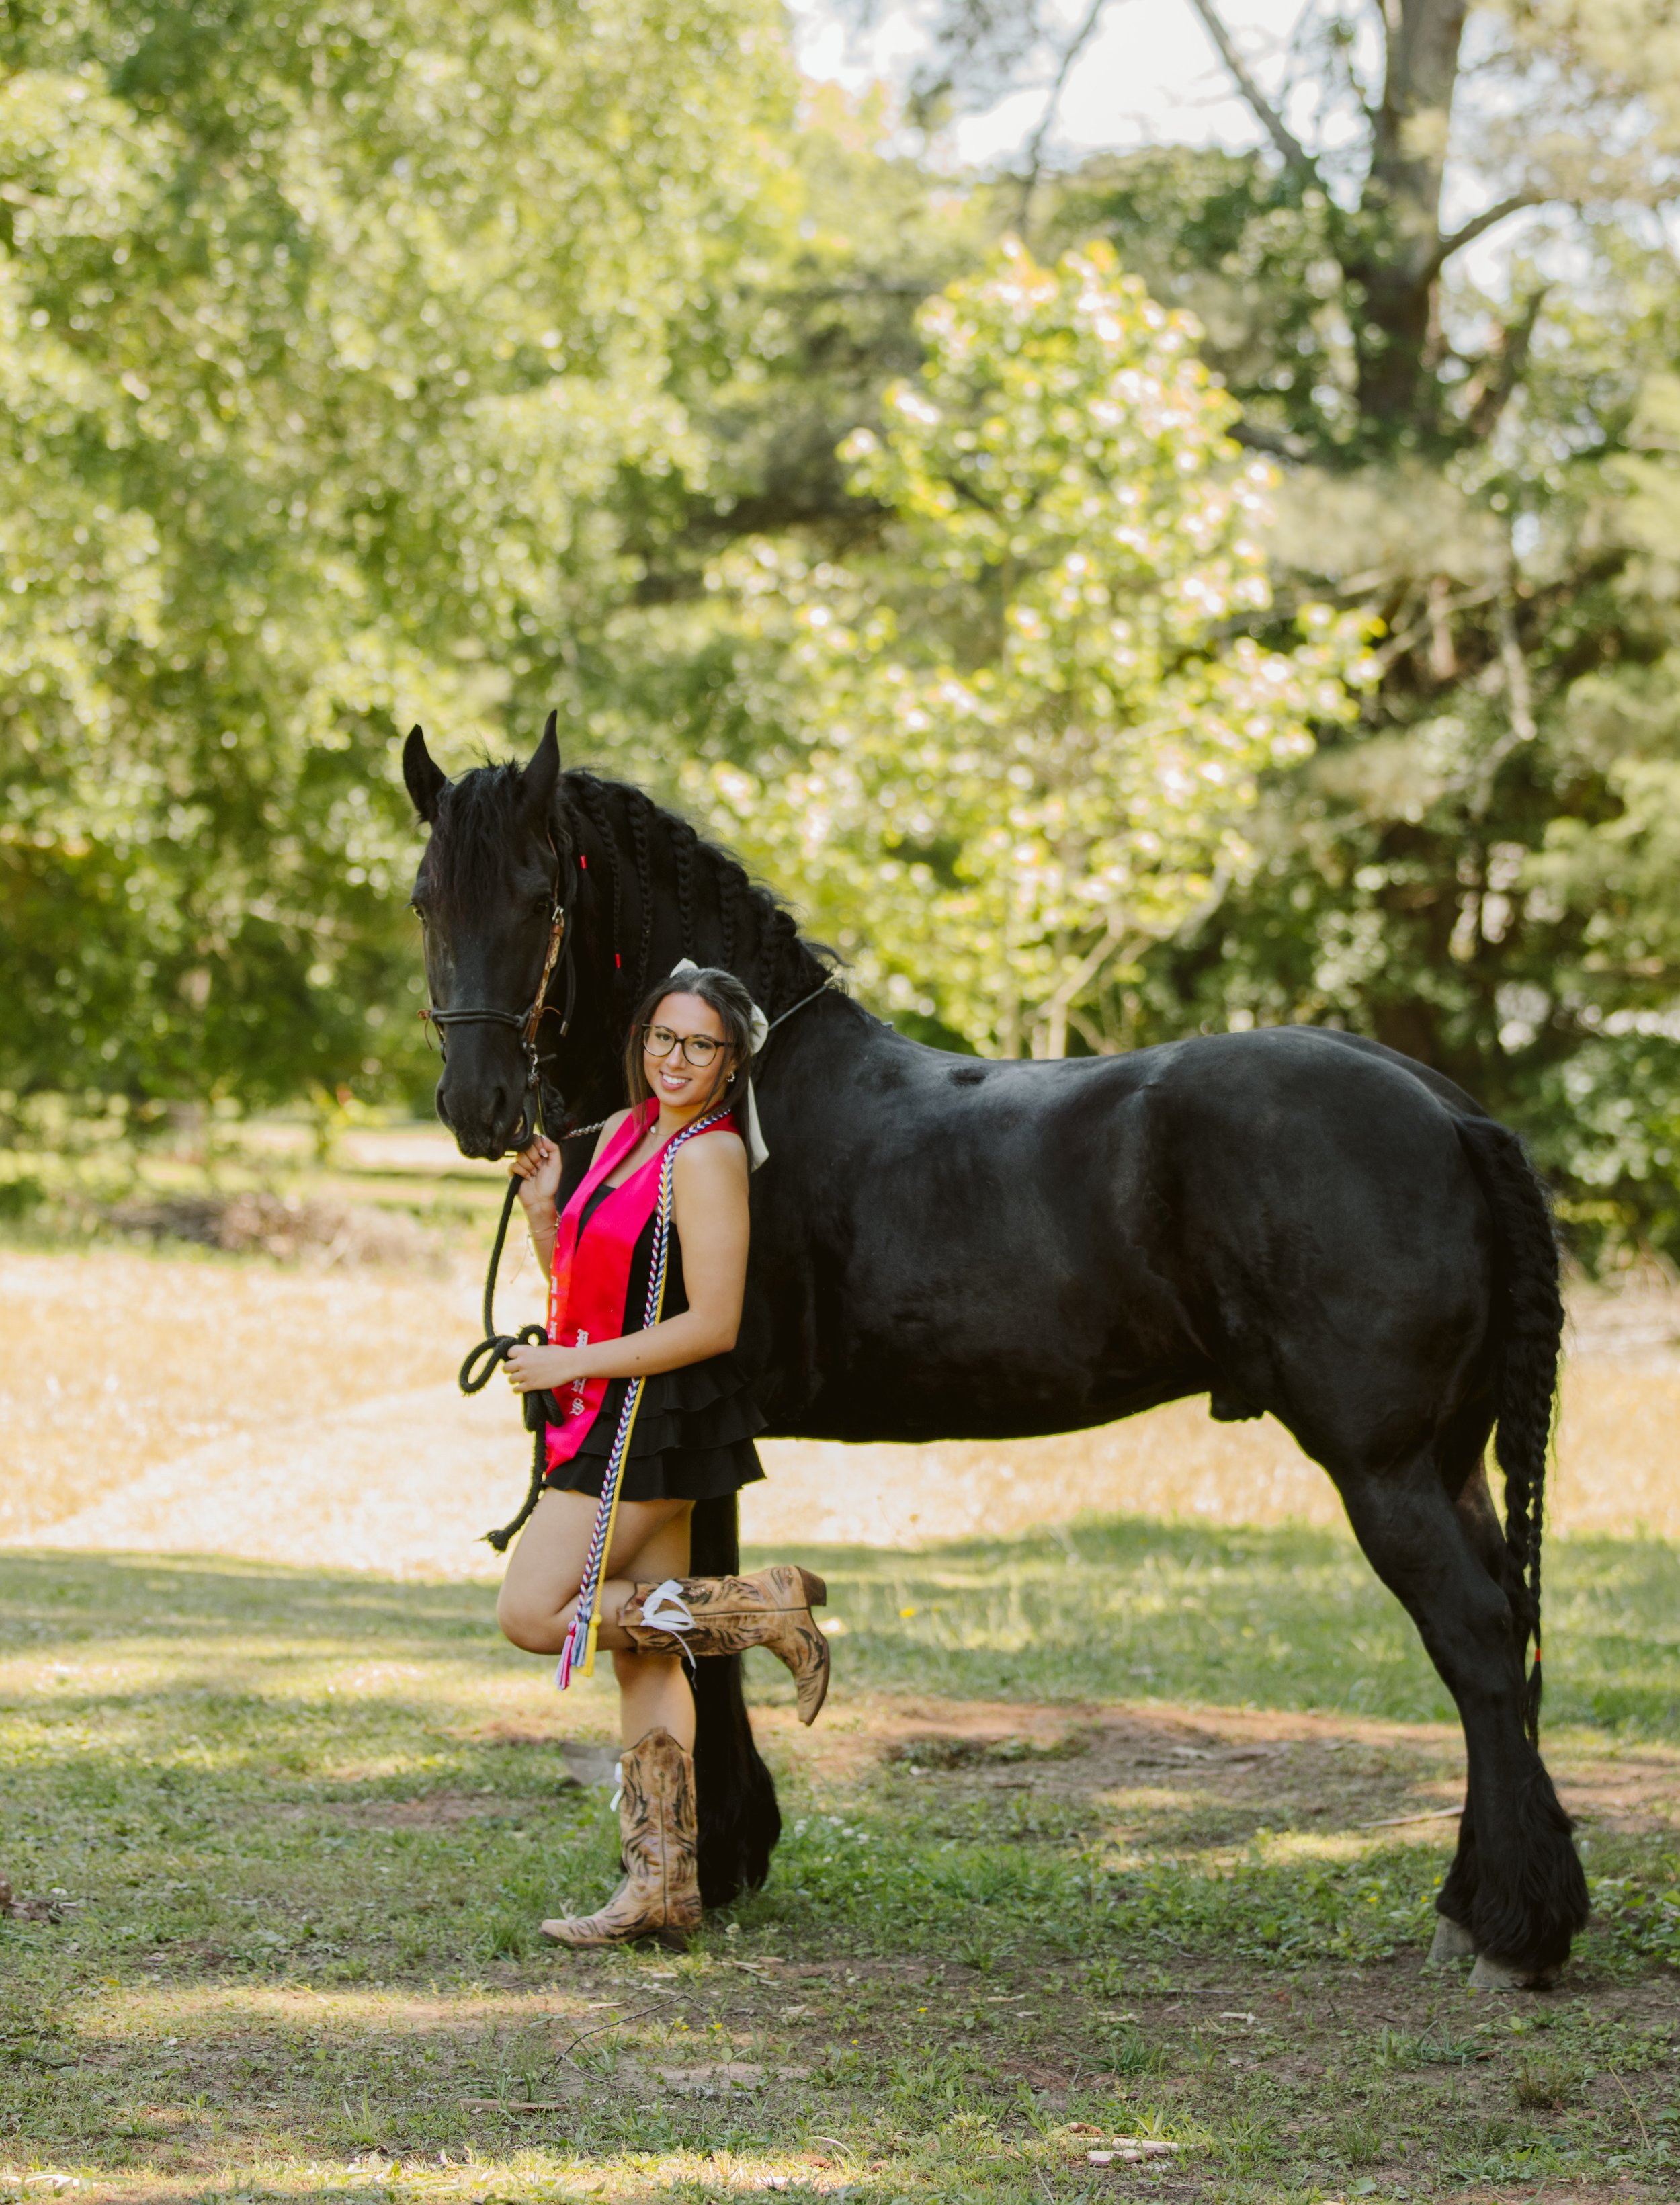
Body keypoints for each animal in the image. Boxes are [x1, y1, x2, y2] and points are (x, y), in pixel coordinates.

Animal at [402, 713, 1590, 1985]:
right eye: (426, 895)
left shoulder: (687, 1422)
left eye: (539, 891)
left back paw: (1511, 1929)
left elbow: (703, 1633)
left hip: (1386, 1468)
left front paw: (719, 1861)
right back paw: (1489, 1902)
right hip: (1447, 1464)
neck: (751, 1087)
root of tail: (1453, 1116)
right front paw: (724, 1856)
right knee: (1503, 1629)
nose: (478, 1105)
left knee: (1474, 1639)